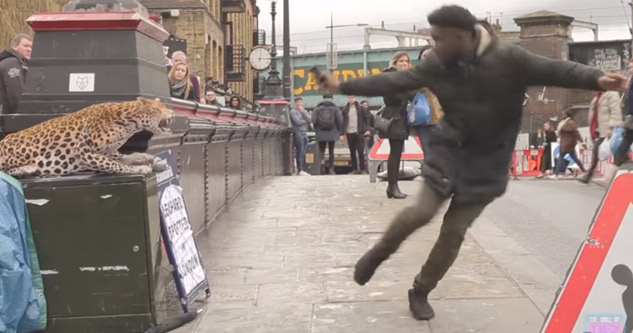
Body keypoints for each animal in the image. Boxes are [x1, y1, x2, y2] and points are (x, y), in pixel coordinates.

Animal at [0, 97, 173, 178]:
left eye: (165, 106)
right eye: (157, 109)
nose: (172, 113)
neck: (130, 124)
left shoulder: (108, 152)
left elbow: (125, 157)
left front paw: (149, 160)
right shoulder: (84, 151)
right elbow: (115, 165)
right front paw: (139, 168)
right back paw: (28, 169)